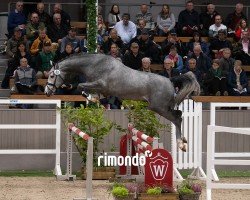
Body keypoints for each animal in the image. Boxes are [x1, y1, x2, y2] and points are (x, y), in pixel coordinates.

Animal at [45, 53, 200, 152]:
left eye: (52, 75)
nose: (47, 92)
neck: (94, 64)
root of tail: (170, 80)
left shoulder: (100, 84)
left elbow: (80, 86)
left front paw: (91, 98)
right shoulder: (103, 90)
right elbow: (88, 90)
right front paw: (94, 98)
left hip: (159, 107)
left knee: (177, 117)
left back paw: (181, 144)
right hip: (161, 107)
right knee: (178, 114)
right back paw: (183, 141)